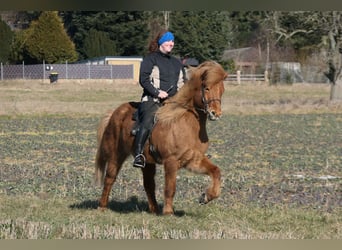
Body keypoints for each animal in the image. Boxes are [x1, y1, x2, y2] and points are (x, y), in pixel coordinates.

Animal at [94, 60, 227, 215]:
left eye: (222, 89)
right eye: (206, 88)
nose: (215, 114)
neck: (186, 124)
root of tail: (114, 113)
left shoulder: (194, 160)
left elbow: (216, 171)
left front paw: (206, 196)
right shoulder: (171, 161)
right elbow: (170, 188)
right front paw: (168, 212)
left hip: (147, 163)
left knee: (148, 184)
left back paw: (154, 210)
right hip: (116, 155)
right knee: (110, 178)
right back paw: (102, 206)